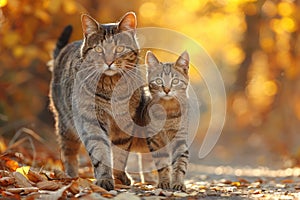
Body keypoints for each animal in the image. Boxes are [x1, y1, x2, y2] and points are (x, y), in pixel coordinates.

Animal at [48, 12, 145, 191]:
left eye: (119, 49)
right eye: (99, 49)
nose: (109, 62)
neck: (112, 87)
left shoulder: (125, 125)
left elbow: (121, 154)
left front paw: (120, 177)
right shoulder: (92, 121)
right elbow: (100, 150)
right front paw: (105, 179)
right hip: (66, 125)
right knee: (68, 154)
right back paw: (71, 177)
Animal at [144, 50, 190, 191]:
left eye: (175, 81)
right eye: (159, 81)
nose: (167, 90)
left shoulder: (180, 138)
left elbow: (180, 164)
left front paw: (178, 183)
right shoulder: (156, 140)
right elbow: (162, 162)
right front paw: (164, 182)